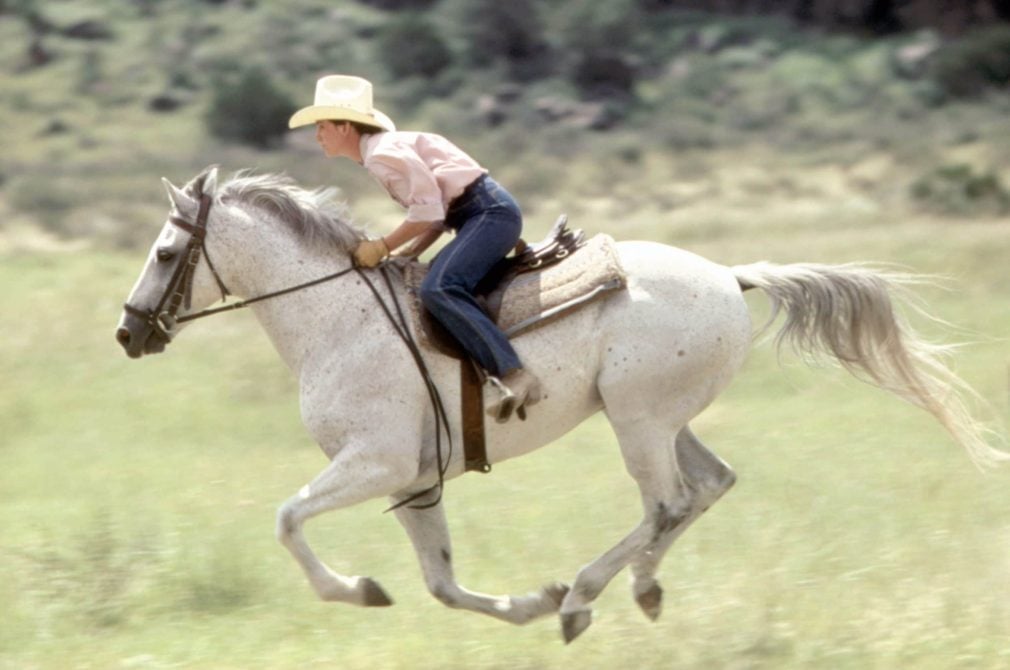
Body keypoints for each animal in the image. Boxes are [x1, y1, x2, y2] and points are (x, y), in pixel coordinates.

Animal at [116, 167, 1001, 646]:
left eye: (164, 252)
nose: (128, 333)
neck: (339, 318)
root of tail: (730, 274)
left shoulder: (375, 464)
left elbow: (288, 520)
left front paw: (359, 589)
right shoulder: (417, 481)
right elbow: (441, 582)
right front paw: (524, 605)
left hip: (637, 421)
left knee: (666, 502)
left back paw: (586, 595)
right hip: (663, 419)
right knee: (706, 488)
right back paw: (630, 592)